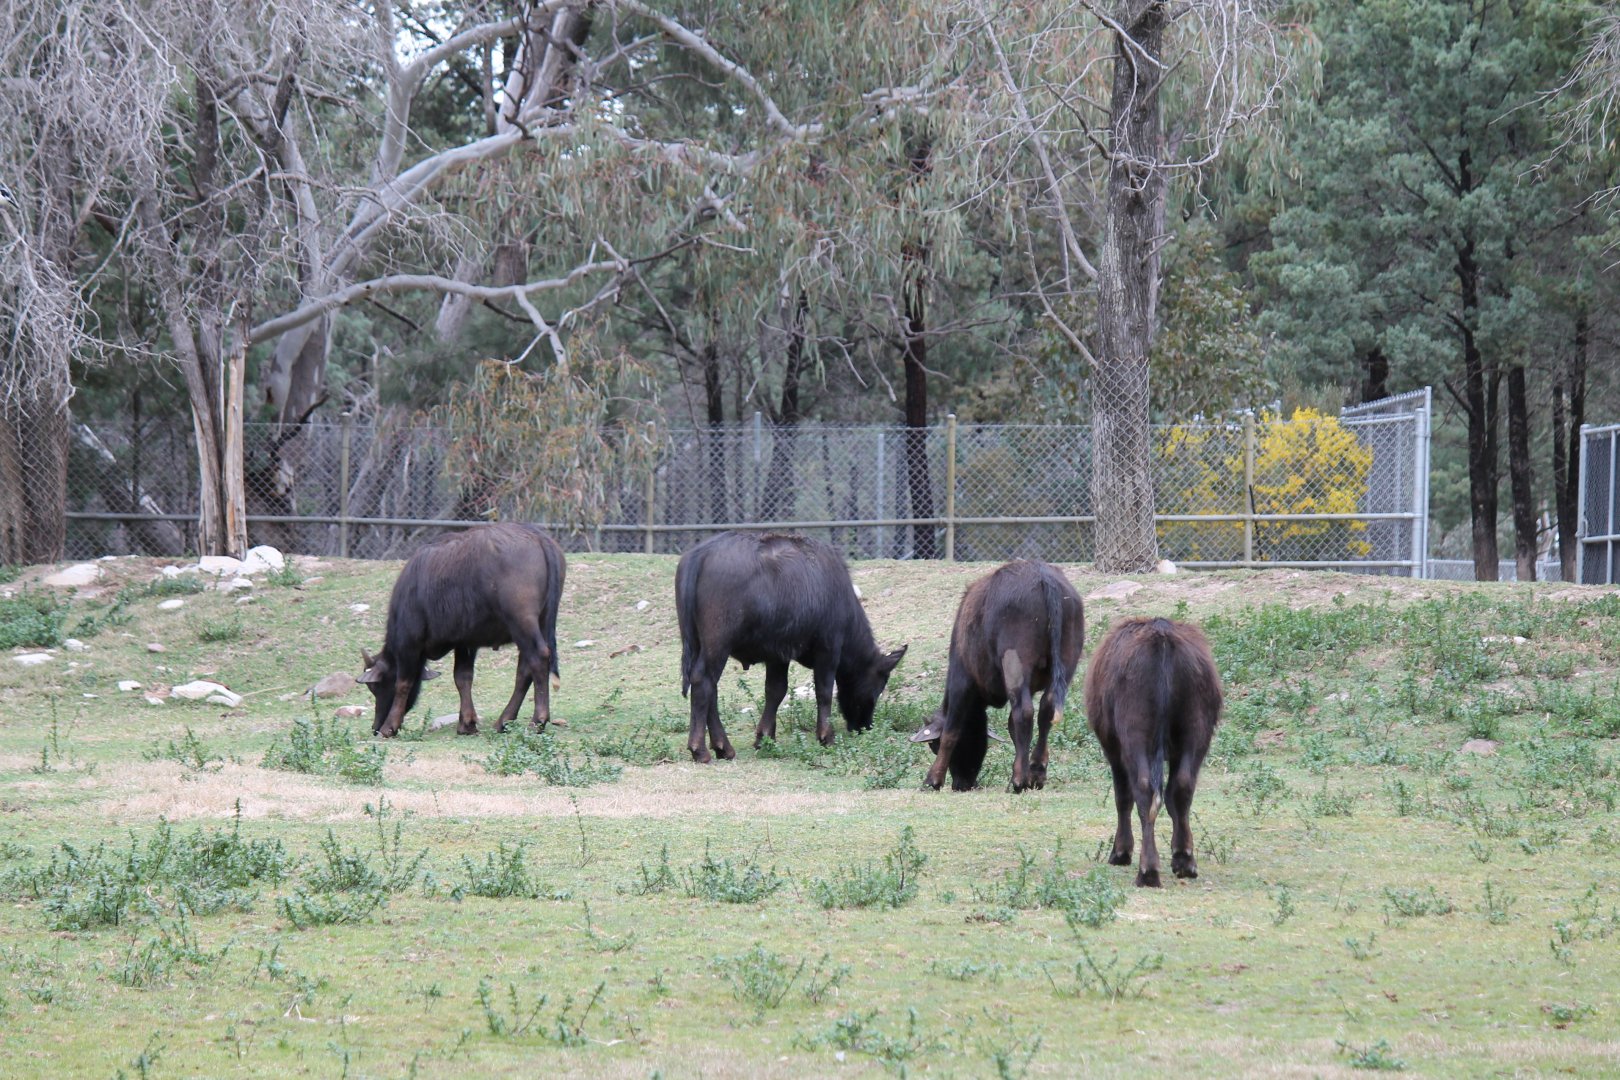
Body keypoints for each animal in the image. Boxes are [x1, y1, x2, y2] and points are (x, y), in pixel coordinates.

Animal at [359, 523, 566, 738]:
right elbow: (463, 678)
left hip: (522, 622)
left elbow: (403, 683)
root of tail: (537, 537)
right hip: (540, 621)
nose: (375, 727)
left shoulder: (409, 644)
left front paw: (389, 727)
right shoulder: (465, 643)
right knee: (525, 669)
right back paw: (504, 720)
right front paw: (467, 723)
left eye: (374, 686)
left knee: (538, 658)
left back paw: (537, 720)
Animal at [675, 531, 907, 763]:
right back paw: (701, 749)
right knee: (703, 681)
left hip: (698, 643)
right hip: (718, 645)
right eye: (879, 687)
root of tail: (700, 555)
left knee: (710, 687)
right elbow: (824, 690)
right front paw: (826, 736)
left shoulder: (778, 656)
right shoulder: (829, 648)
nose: (865, 726)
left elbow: (775, 690)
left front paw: (766, 738)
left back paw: (722, 747)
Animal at [910, 560, 1084, 792]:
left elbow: (952, 729)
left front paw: (932, 780)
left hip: (1015, 661)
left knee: (1024, 712)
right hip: (1066, 661)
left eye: (933, 745)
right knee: (1045, 709)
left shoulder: (961, 679)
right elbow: (1012, 728)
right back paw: (1035, 772)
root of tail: (1043, 576)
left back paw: (1019, 780)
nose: (963, 783)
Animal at [1085, 617, 1223, 887]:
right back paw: (1185, 860)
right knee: (1181, 787)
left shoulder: (1113, 750)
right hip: (1196, 731)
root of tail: (1162, 636)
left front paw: (1121, 852)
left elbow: (1122, 797)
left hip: (1134, 737)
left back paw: (1147, 870)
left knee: (1144, 790)